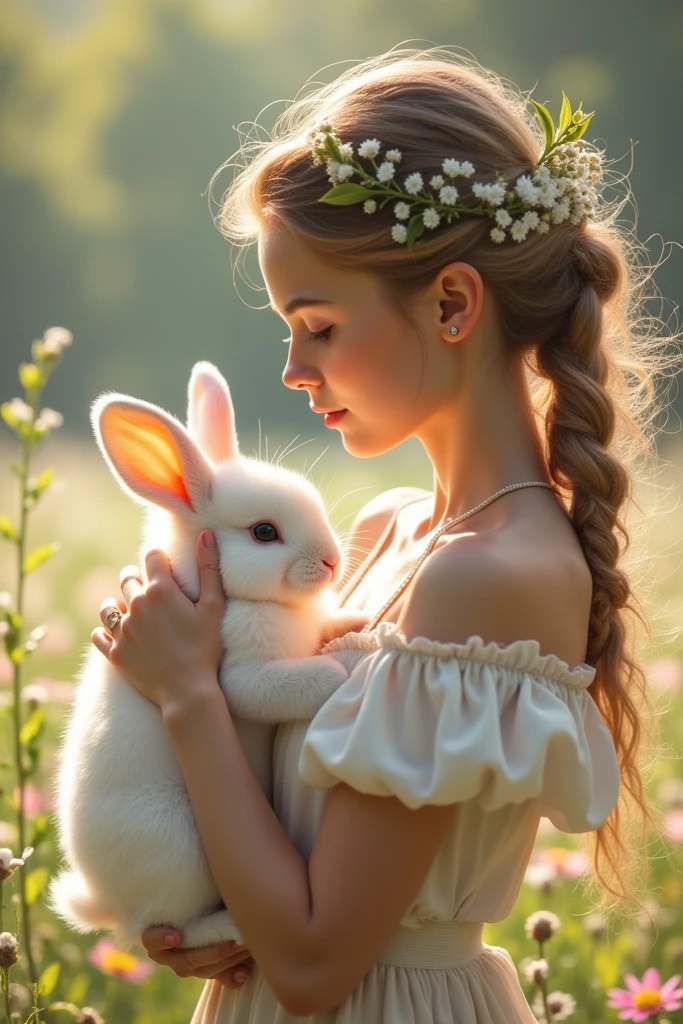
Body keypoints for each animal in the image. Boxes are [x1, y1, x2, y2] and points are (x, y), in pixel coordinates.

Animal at [47, 360, 371, 952]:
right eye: (264, 532)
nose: (333, 562)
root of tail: (104, 903)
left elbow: (325, 626)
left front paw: (351, 623)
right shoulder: (241, 673)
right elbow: (275, 685)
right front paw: (338, 672)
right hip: (182, 847)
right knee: (167, 926)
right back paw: (230, 927)